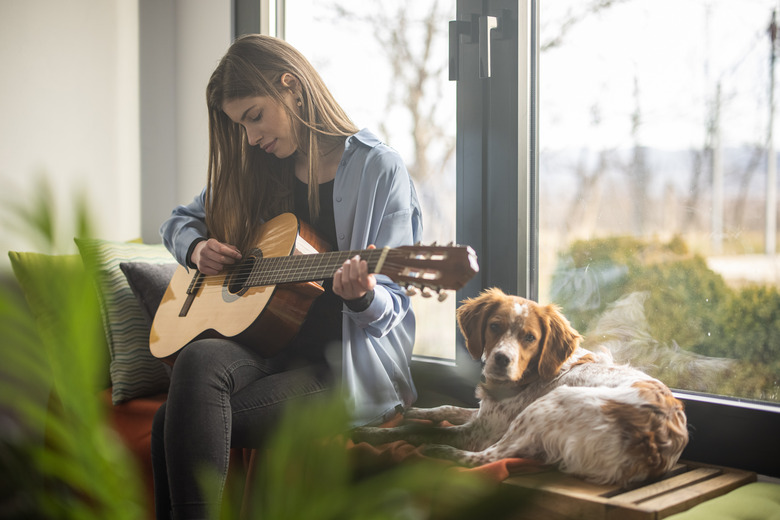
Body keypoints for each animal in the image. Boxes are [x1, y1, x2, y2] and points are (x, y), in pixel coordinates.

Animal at [354, 286, 688, 486]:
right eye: (494, 326)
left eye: (530, 337)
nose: (501, 359)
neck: (525, 379)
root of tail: (652, 451)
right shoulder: (486, 416)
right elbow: (448, 408)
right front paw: (417, 411)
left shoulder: (480, 433)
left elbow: (414, 431)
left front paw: (372, 433)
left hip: (549, 404)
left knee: (490, 458)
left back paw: (439, 451)